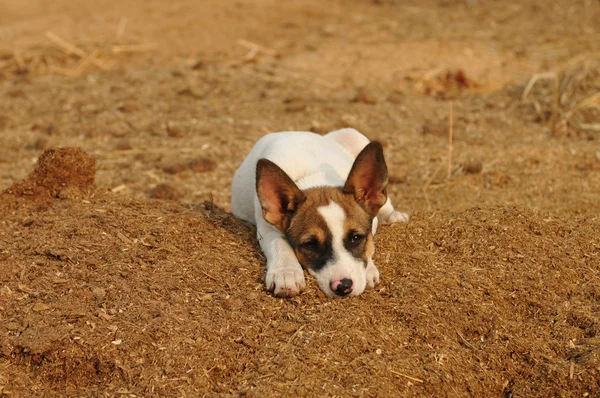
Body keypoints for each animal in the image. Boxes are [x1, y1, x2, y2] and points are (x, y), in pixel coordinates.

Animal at [230, 129, 408, 296]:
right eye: (310, 244)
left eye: (356, 238)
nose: (343, 286)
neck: (314, 177)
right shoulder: (266, 229)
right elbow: (279, 242)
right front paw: (286, 272)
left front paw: (368, 268)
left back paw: (393, 215)